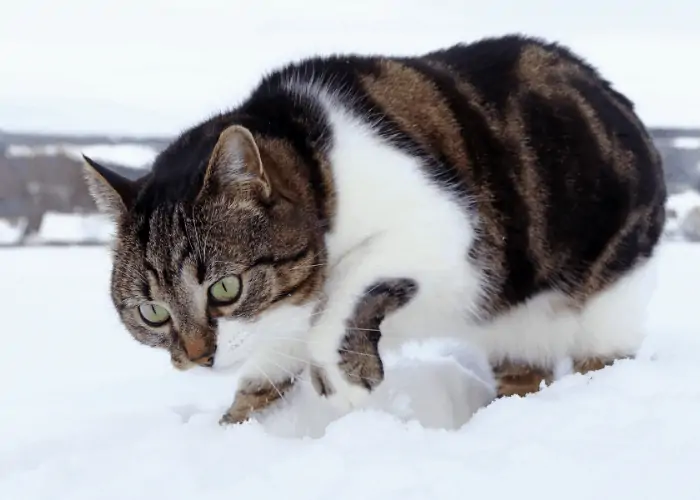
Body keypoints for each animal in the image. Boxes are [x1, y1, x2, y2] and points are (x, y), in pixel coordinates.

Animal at [83, 34, 668, 426]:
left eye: (226, 288)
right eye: (152, 312)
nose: (197, 357)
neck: (317, 162)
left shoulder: (450, 232)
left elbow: (343, 293)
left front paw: (344, 383)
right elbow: (264, 373)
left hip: (605, 299)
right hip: (517, 332)